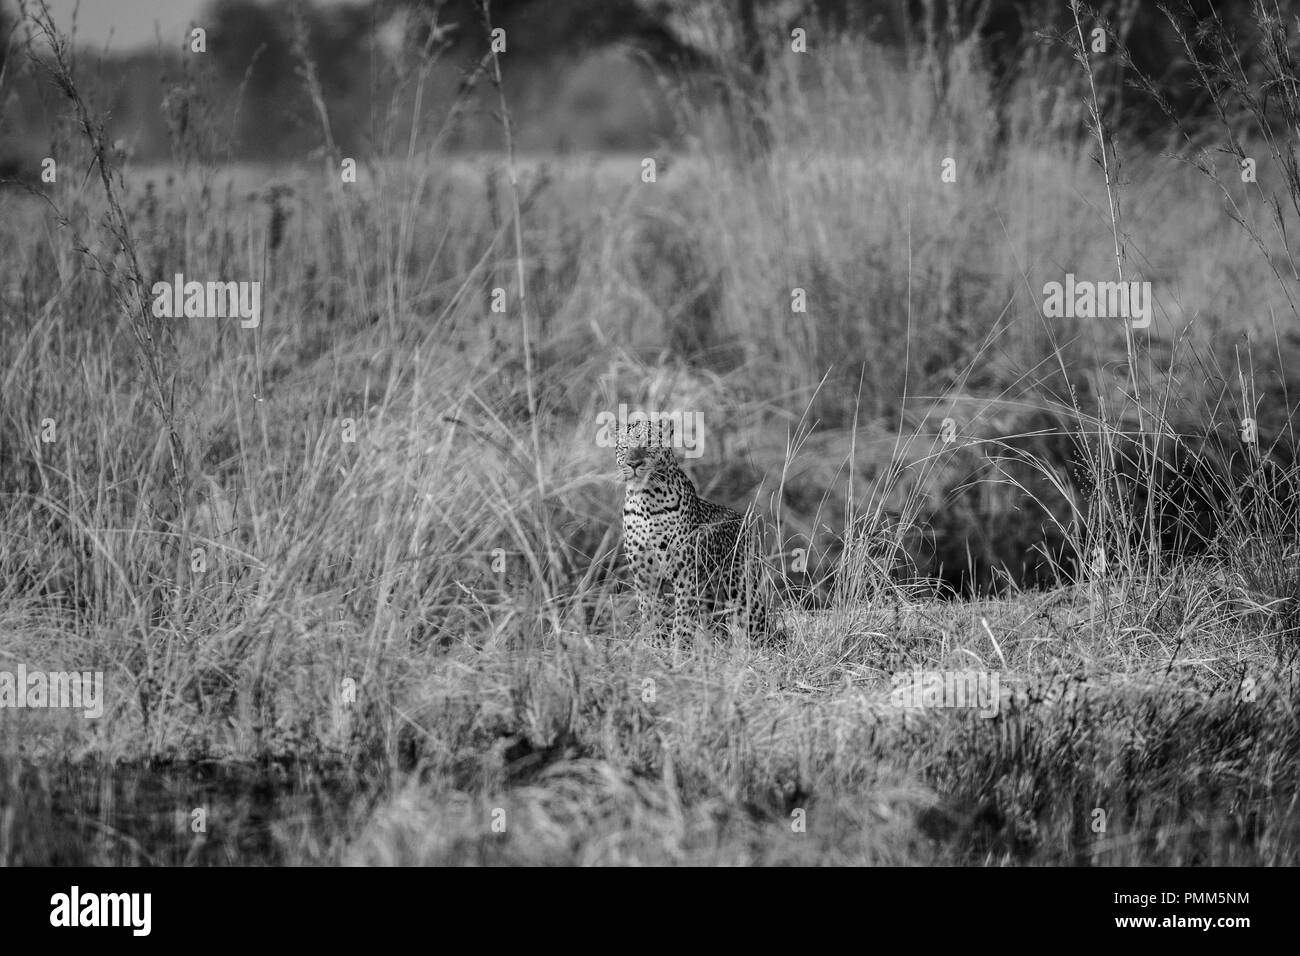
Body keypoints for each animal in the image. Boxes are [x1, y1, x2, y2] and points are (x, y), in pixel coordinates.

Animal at [615, 417, 771, 639]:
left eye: (649, 444)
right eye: (624, 447)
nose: (633, 464)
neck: (645, 500)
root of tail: (742, 519)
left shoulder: (685, 575)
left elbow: (682, 618)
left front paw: (677, 645)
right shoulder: (644, 577)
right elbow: (651, 614)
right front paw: (654, 642)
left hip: (741, 585)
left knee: (755, 621)